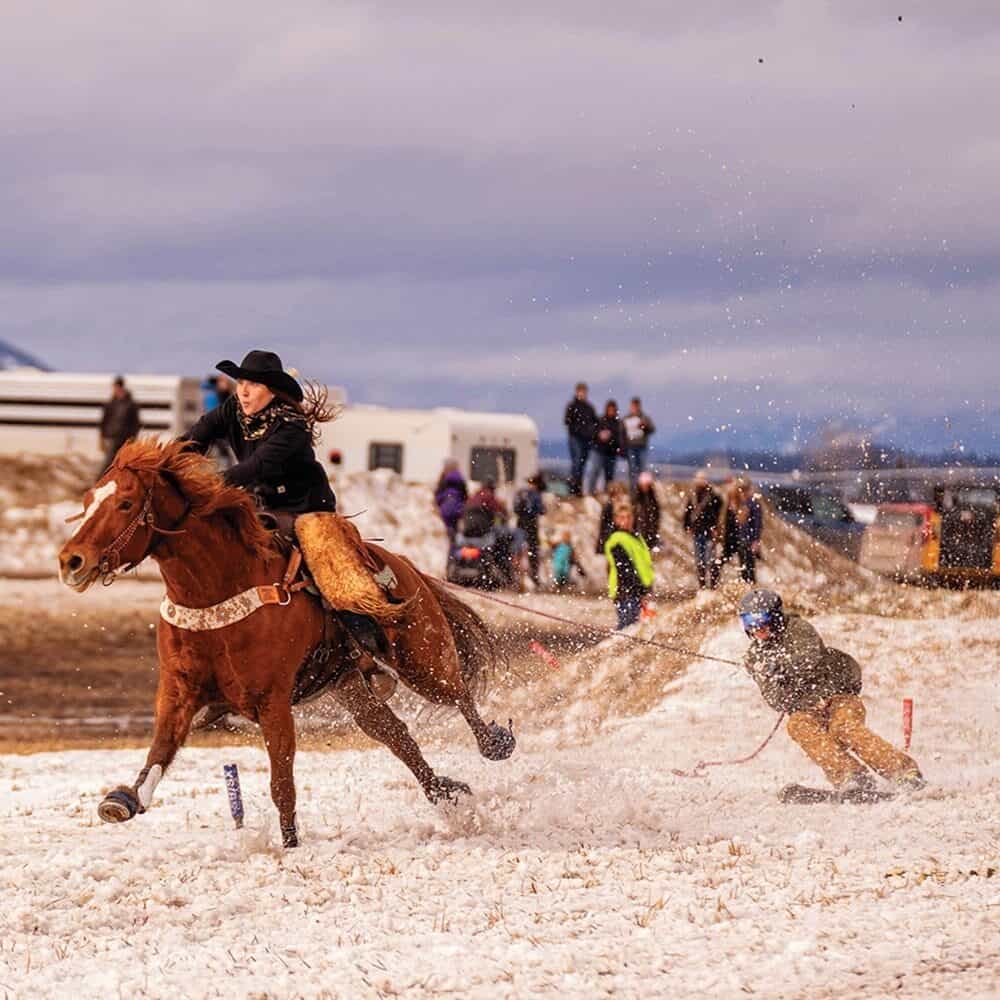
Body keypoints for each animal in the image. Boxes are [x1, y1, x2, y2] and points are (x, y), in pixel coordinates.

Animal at [57, 439, 515, 848]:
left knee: (458, 694)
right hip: (350, 684)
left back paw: (495, 743)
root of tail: (406, 567)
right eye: (89, 499)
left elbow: (282, 782)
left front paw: (291, 845)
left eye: (126, 503)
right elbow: (161, 749)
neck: (216, 591)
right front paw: (122, 800)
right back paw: (445, 793)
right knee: (395, 734)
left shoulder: (272, 701)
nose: (71, 561)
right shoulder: (178, 690)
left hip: (424, 660)